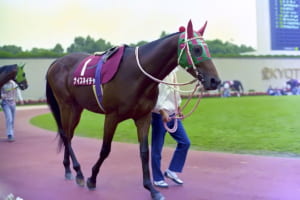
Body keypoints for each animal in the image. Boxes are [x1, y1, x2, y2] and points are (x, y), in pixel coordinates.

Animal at [46, 20, 220, 200]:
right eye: (197, 49)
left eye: (207, 48)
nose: (215, 80)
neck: (136, 74)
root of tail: (56, 62)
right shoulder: (111, 116)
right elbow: (105, 149)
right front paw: (92, 179)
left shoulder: (143, 117)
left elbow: (144, 152)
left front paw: (151, 188)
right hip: (67, 105)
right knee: (66, 135)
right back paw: (78, 172)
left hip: (77, 107)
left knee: (68, 135)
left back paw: (68, 169)